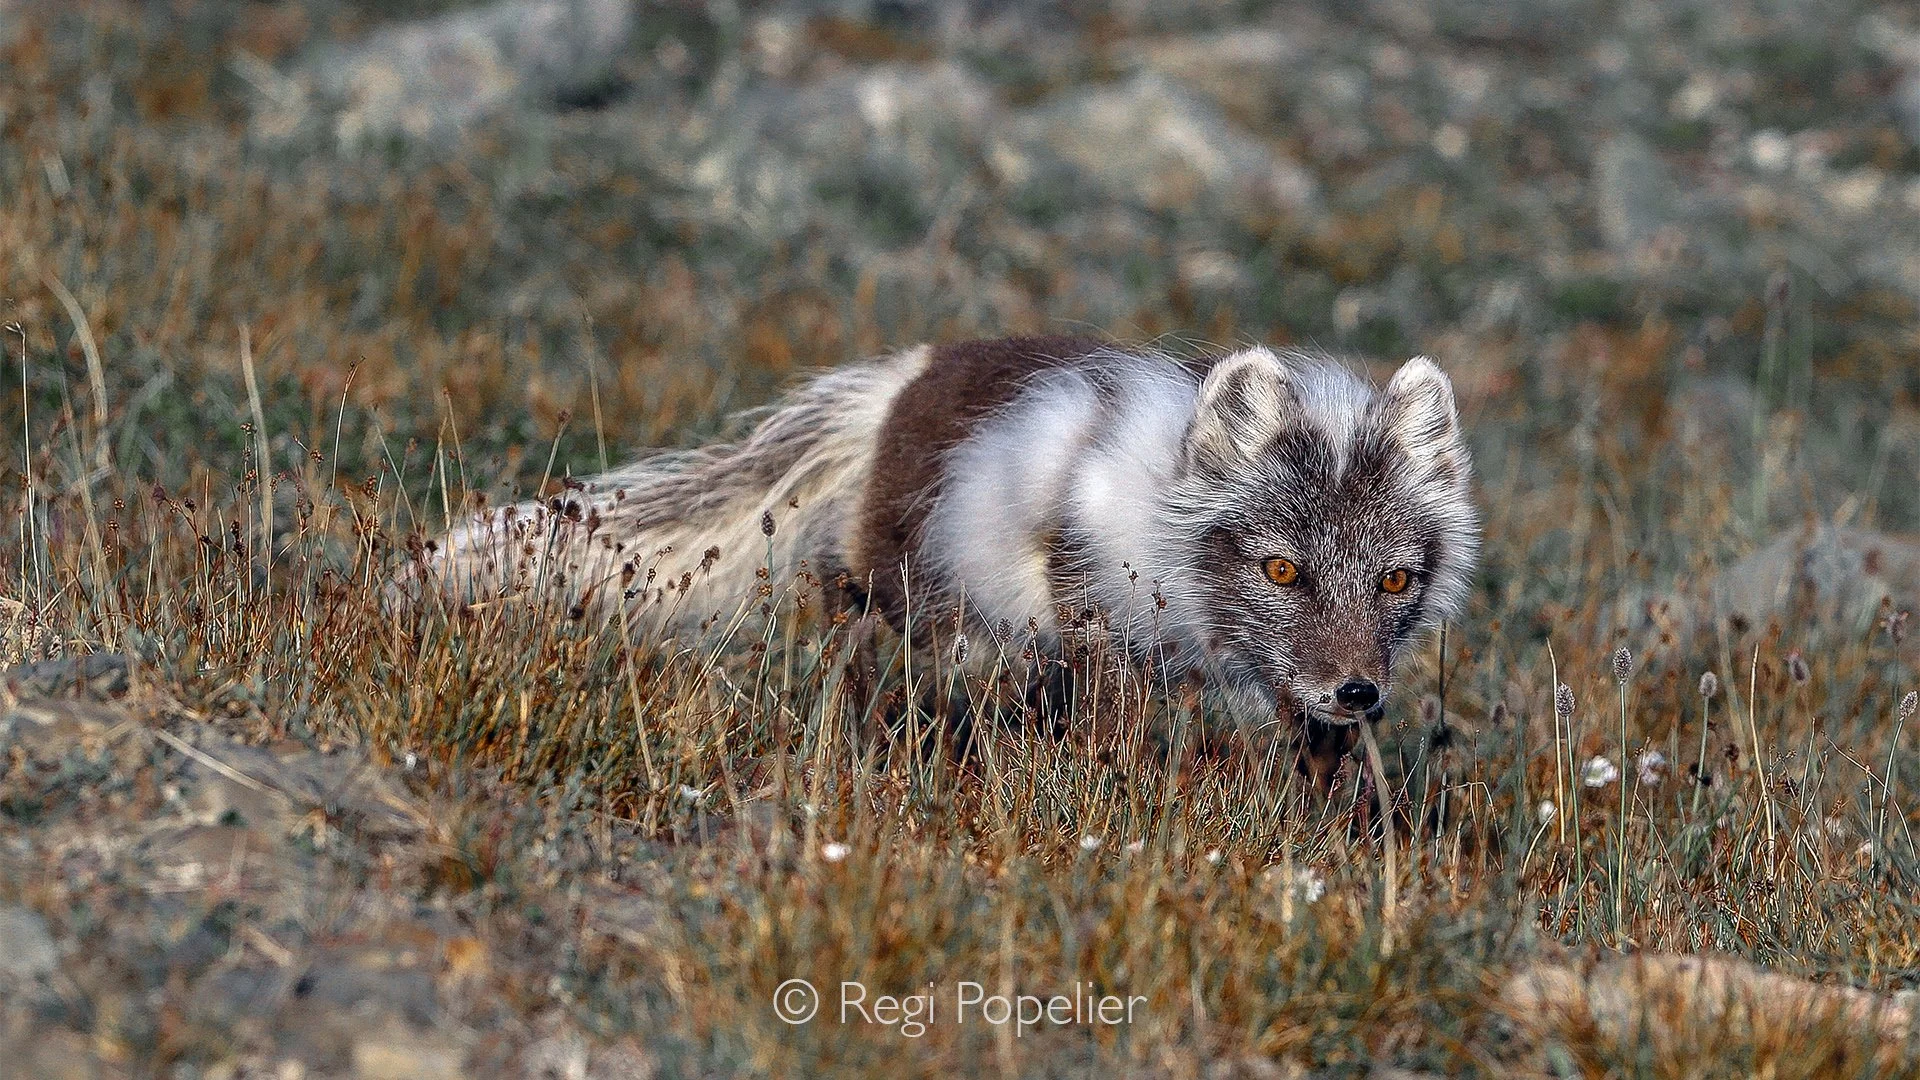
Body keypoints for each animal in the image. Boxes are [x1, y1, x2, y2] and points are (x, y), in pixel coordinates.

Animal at [416, 336, 1478, 786]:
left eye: (1395, 578)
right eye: (1282, 570)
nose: (1357, 692)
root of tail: (901, 378)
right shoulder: (1094, 610)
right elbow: (1114, 725)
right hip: (914, 587)